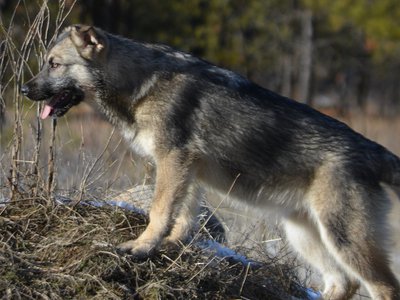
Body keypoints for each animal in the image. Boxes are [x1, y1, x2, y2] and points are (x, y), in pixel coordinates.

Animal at [21, 25, 400, 300]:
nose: (25, 90)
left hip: (344, 240)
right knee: (343, 284)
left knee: (384, 287)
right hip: (305, 236)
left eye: (54, 64)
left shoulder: (173, 160)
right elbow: (184, 218)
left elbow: (159, 212)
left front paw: (142, 247)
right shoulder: (186, 170)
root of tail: (374, 150)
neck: (141, 84)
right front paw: (171, 246)